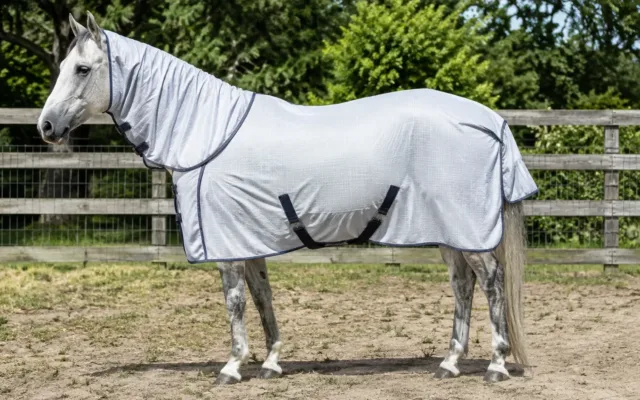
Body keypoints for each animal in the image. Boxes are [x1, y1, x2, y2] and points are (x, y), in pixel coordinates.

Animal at [37, 12, 538, 385]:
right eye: (63, 68)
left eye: (82, 69)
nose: (46, 127)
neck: (207, 131)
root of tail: (489, 120)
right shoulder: (248, 238)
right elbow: (263, 297)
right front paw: (272, 362)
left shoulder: (227, 243)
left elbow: (235, 301)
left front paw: (233, 367)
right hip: (450, 232)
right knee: (463, 285)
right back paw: (449, 364)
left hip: (467, 229)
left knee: (491, 283)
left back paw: (495, 365)